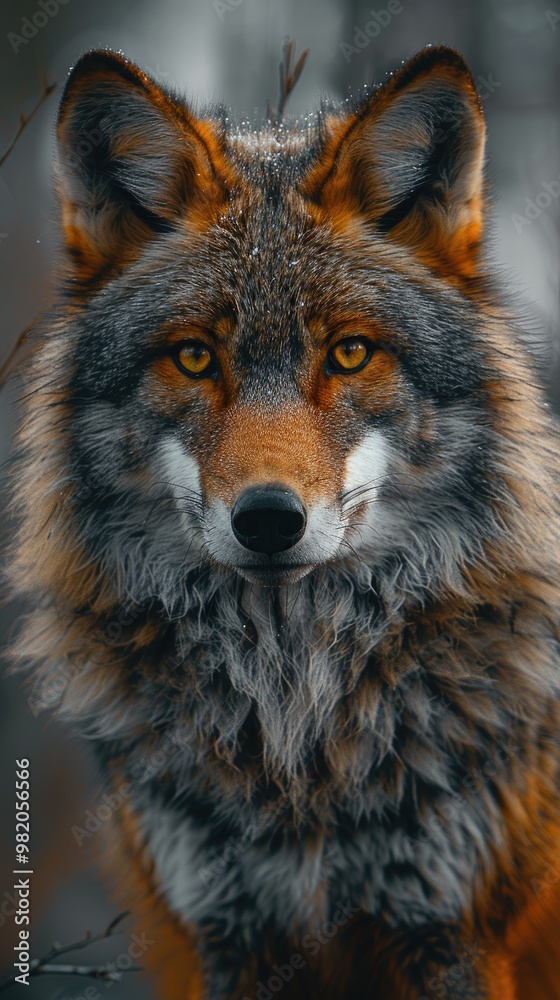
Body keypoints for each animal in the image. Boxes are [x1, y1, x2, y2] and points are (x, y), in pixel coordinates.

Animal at [8, 44, 560, 998]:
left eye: (349, 353)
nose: (268, 520)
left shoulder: (452, 932)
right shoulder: (230, 934)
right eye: (196, 357)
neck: (297, 719)